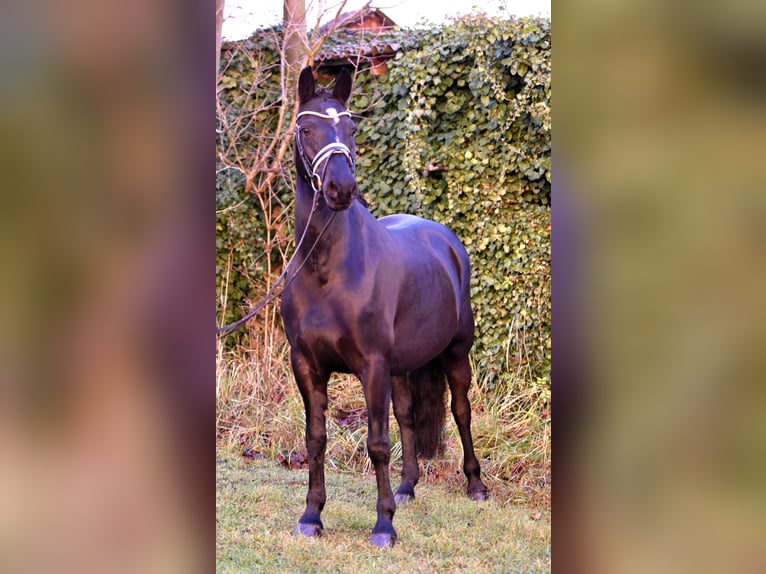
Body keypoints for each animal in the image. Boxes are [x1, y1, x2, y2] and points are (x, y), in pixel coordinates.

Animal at [280, 66, 488, 548]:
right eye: (306, 128)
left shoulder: (371, 366)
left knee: (461, 412)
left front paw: (383, 526)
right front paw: (311, 516)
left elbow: (376, 444)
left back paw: (475, 485)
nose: (340, 188)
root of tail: (444, 240)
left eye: (351, 129)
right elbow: (316, 438)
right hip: (401, 367)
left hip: (455, 355)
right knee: (408, 418)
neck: (327, 268)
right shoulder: (307, 365)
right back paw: (407, 486)